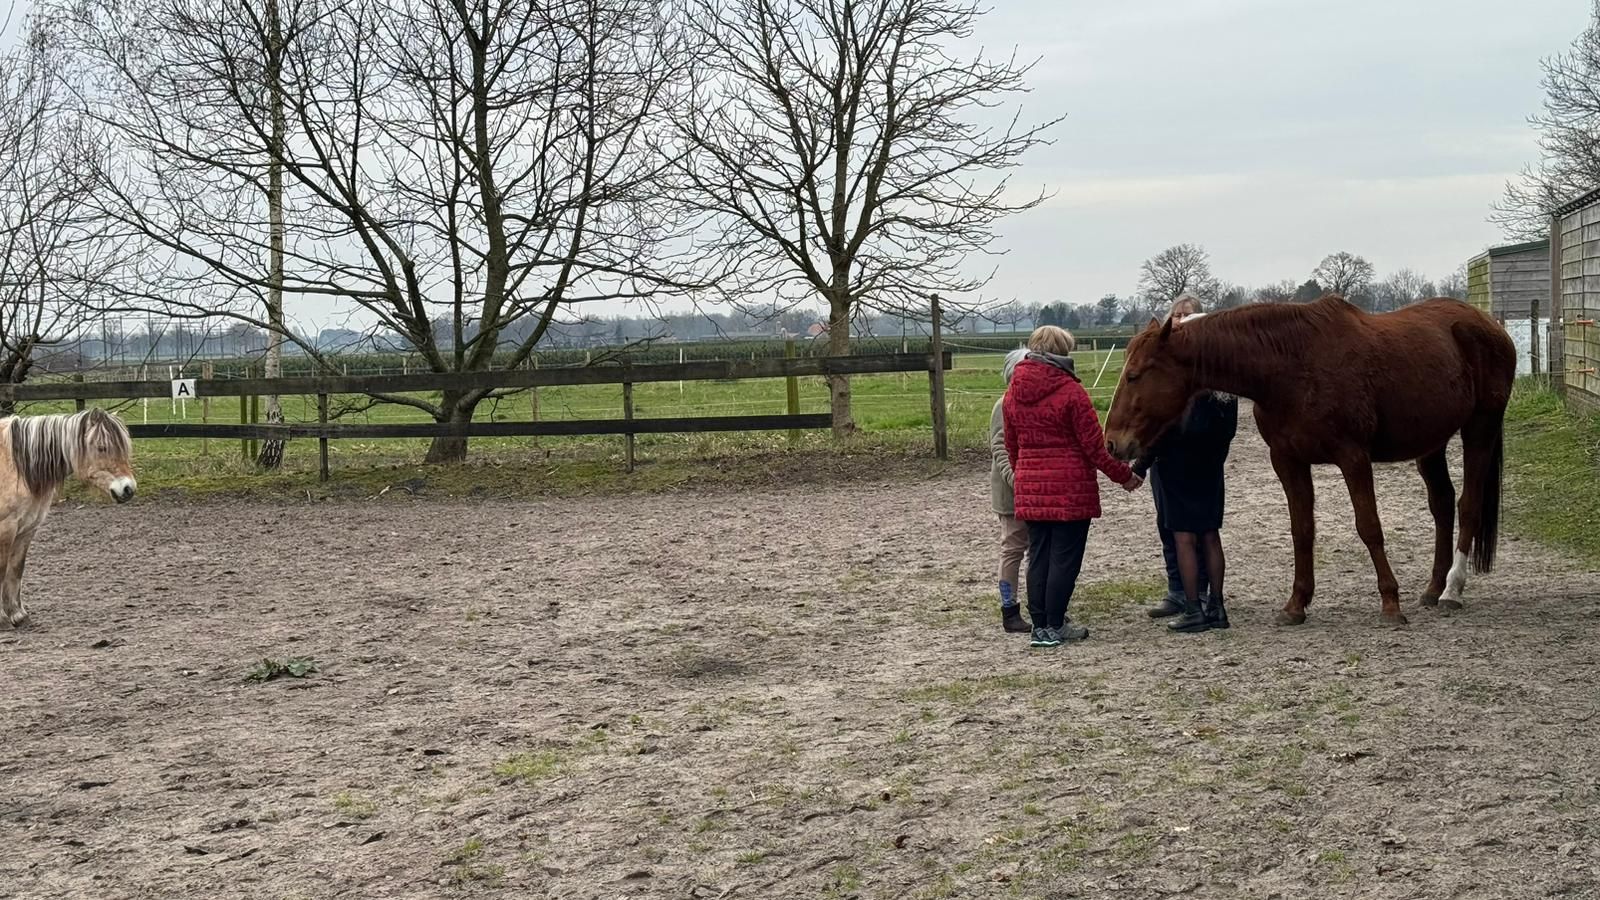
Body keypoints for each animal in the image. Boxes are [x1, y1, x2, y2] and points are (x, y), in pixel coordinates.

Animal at [0, 408, 136, 627]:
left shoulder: (26, 530)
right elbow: (2, 570)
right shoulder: (6, 529)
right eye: (102, 448)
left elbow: (16, 570)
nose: (128, 489)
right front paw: (3, 619)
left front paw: (17, 614)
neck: (14, 465)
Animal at [1104, 295, 1516, 626]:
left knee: (1468, 505)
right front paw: (1296, 604)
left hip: (1481, 428)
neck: (1291, 365)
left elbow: (1369, 527)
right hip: (1431, 443)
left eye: (1135, 375)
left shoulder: (1353, 457)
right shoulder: (1288, 461)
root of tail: (1488, 325)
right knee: (1442, 505)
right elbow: (1301, 530)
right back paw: (1433, 588)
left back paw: (1452, 590)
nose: (1112, 443)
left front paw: (1390, 603)